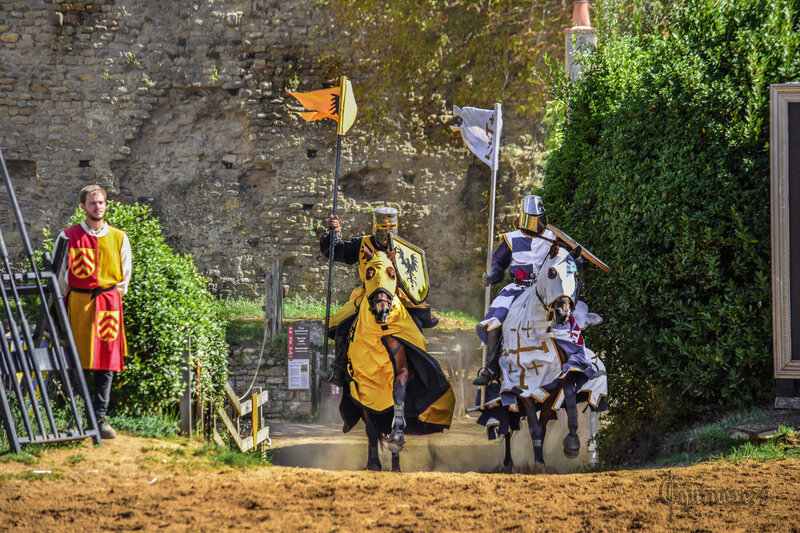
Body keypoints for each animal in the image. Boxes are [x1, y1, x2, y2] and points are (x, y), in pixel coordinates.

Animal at [340, 245, 456, 470]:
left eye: (392, 274)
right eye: (369, 273)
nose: (382, 310)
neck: (381, 331)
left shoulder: (402, 371)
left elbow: (399, 395)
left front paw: (398, 435)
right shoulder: (361, 386)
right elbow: (371, 428)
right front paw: (374, 464)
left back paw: (396, 465)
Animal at [482, 241, 608, 470]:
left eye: (576, 274)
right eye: (551, 272)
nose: (563, 313)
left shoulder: (561, 377)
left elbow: (568, 399)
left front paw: (571, 444)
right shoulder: (522, 386)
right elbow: (534, 427)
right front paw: (539, 464)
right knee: (509, 425)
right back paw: (508, 462)